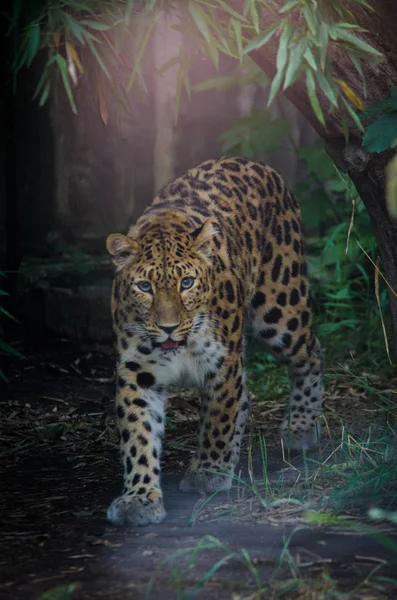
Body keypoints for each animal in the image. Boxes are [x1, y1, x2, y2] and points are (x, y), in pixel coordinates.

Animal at [104, 157, 322, 528]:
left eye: (187, 283)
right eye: (145, 287)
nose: (167, 328)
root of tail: (257, 163)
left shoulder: (223, 361)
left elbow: (219, 417)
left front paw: (208, 470)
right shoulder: (136, 372)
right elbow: (138, 434)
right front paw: (140, 497)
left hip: (281, 308)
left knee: (311, 352)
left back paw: (302, 425)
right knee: (246, 395)